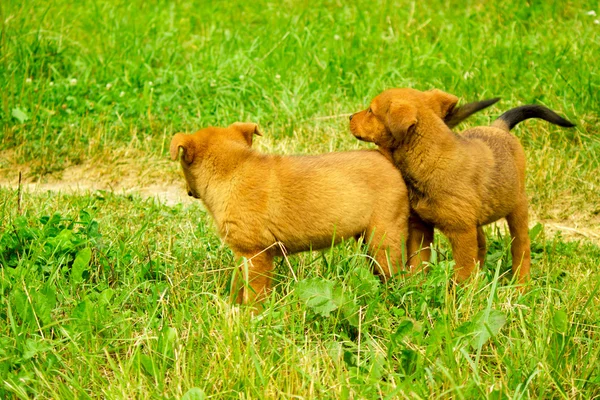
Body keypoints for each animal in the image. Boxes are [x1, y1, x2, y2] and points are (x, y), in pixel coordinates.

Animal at [171, 123, 410, 304]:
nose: (189, 191)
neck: (232, 172)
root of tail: (387, 159)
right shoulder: (243, 255)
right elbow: (238, 287)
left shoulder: (256, 255)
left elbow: (253, 297)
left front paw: (249, 321)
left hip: (385, 240)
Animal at [350, 89, 576, 286]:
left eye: (371, 111)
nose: (350, 117)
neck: (430, 159)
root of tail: (498, 128)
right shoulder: (421, 227)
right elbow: (418, 262)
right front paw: (416, 287)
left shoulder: (461, 232)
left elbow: (463, 271)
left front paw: (459, 296)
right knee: (483, 246)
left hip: (517, 208)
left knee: (521, 249)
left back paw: (521, 286)